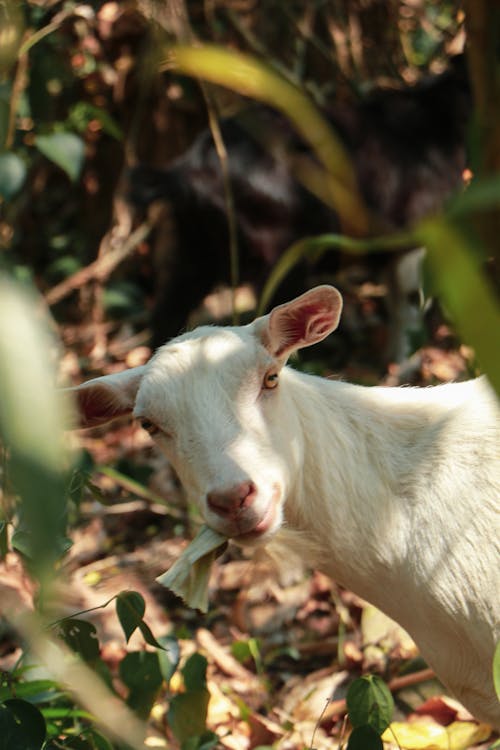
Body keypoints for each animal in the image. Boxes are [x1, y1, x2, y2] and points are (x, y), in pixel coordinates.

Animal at [128, 57, 468, 362]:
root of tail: (190, 168)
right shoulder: (419, 235)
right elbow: (412, 309)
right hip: (280, 253)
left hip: (196, 248)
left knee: (167, 314)